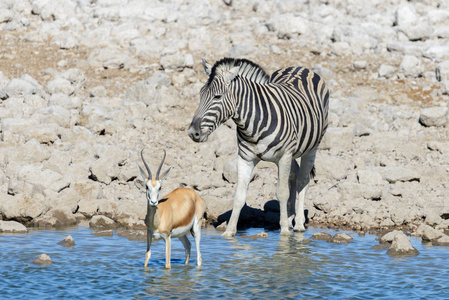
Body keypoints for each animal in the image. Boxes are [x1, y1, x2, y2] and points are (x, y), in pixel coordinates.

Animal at [187, 57, 328, 238]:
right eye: (200, 94)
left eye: (217, 96)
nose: (193, 133)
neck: (253, 123)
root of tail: (300, 67)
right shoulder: (245, 158)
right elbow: (239, 196)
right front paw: (229, 232)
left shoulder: (284, 156)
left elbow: (282, 192)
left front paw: (284, 233)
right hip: (293, 152)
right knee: (293, 175)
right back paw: (290, 218)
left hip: (312, 147)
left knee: (303, 180)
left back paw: (298, 225)